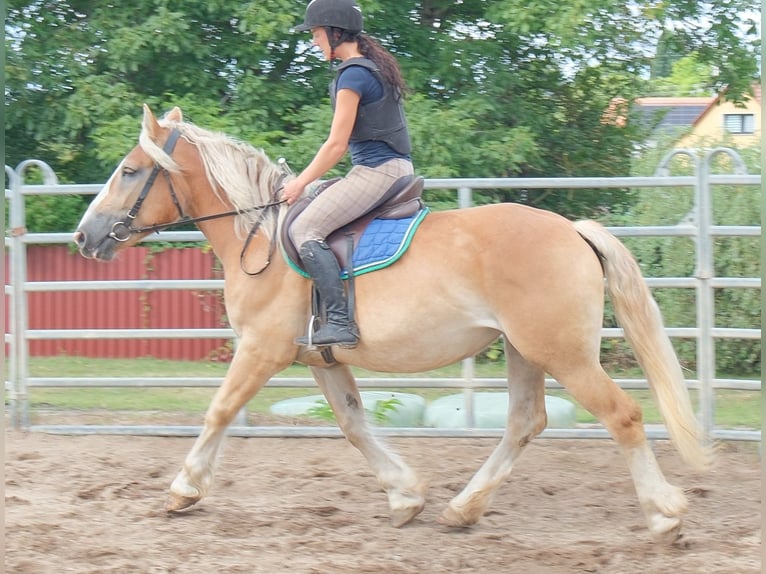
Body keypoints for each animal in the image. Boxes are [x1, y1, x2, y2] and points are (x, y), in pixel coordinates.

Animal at [73, 105, 710, 542]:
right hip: (525, 351)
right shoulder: (320, 359)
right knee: (524, 423)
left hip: (563, 354)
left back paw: (663, 515)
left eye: (129, 171)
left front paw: (183, 490)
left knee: (622, 416)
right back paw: (462, 508)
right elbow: (354, 425)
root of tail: (572, 229)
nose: (84, 236)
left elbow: (220, 411)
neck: (261, 236)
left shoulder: (261, 350)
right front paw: (405, 496)